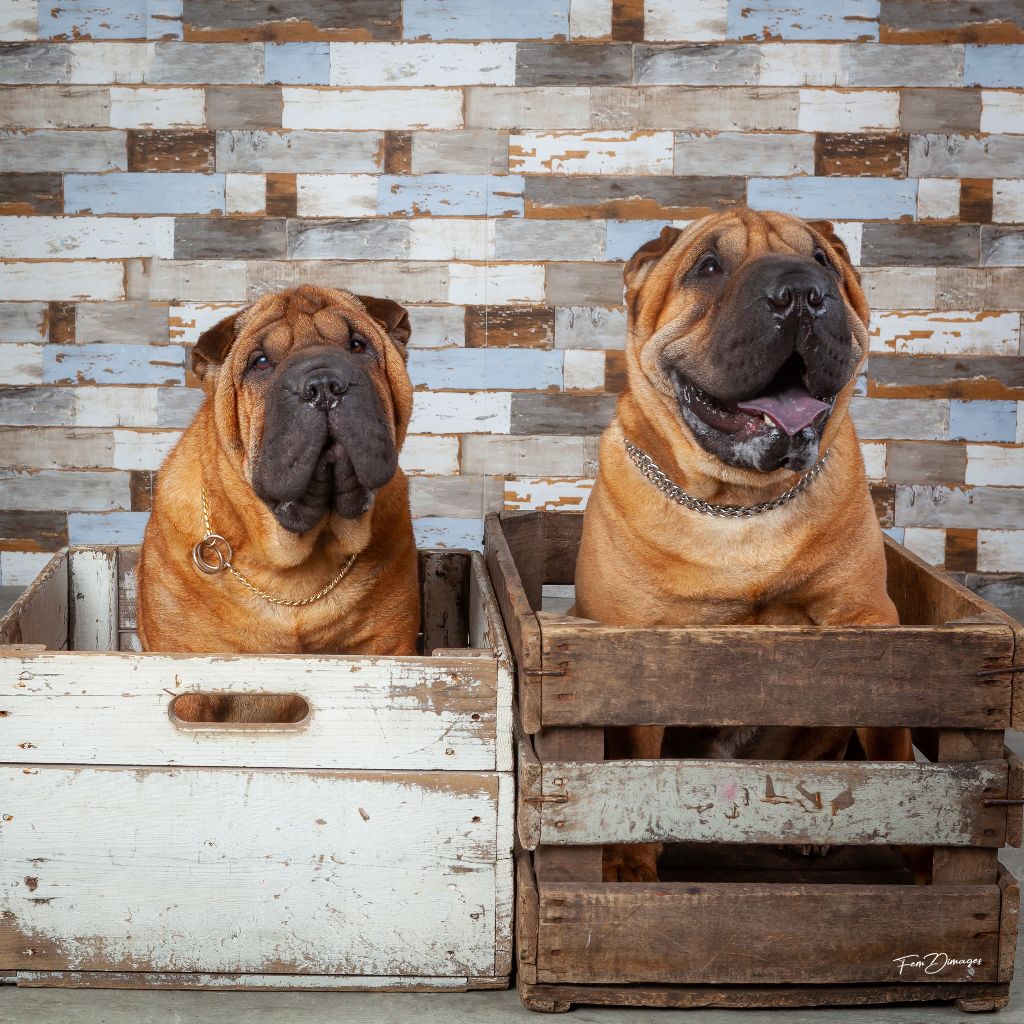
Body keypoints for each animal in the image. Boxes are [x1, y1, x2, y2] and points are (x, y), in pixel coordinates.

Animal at [577, 207, 913, 880]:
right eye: (709, 267)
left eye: (822, 260)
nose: (801, 292)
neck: (738, 505)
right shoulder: (626, 647)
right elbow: (627, 759)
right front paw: (626, 866)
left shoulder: (865, 618)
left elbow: (891, 732)